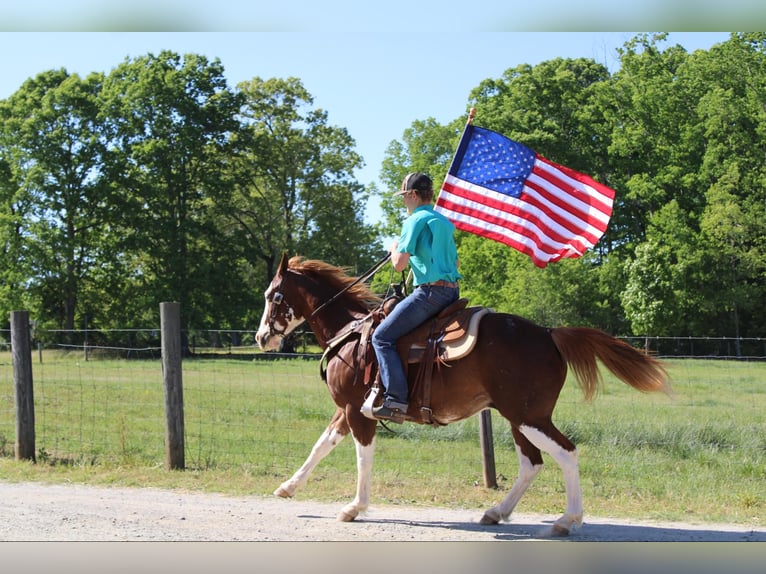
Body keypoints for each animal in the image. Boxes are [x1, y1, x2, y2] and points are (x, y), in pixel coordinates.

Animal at [254, 254, 672, 536]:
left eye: (274, 295)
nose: (261, 337)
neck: (353, 333)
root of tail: (549, 334)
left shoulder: (360, 412)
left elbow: (362, 458)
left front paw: (356, 507)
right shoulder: (346, 409)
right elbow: (321, 445)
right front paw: (288, 487)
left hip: (529, 417)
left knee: (566, 453)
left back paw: (567, 520)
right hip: (518, 418)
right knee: (532, 463)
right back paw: (497, 512)